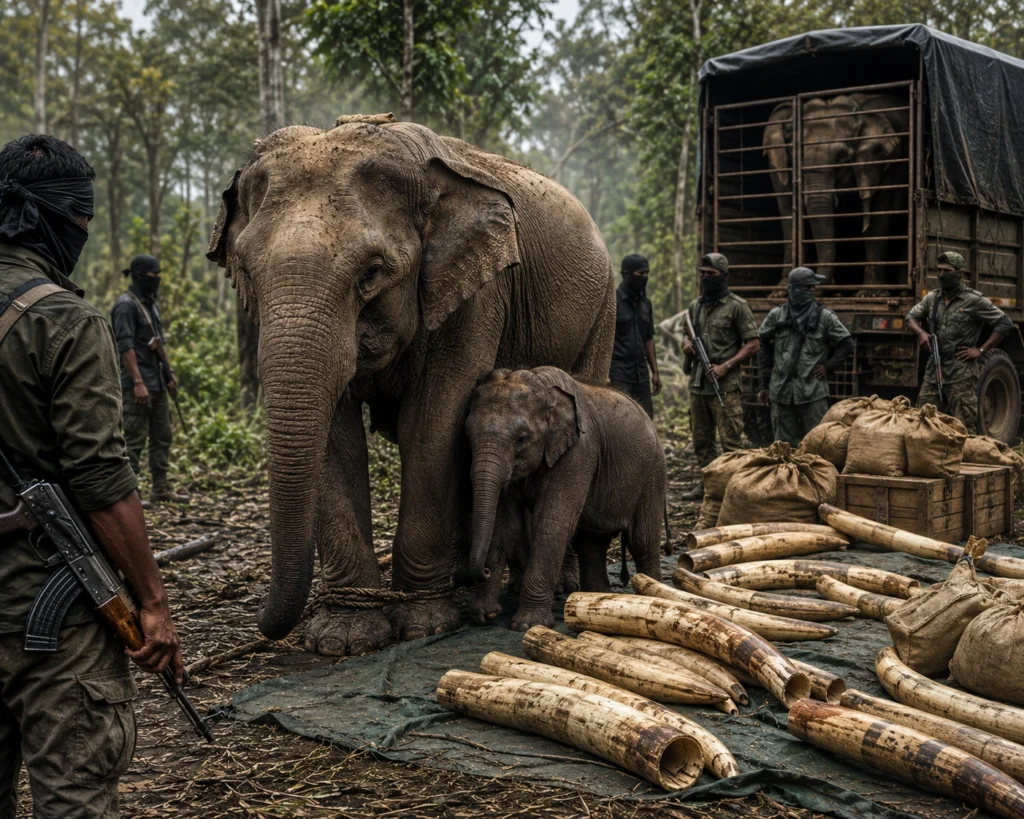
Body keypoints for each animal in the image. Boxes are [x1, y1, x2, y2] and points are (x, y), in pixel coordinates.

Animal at [207, 114, 616, 655]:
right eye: (246, 272)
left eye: (372, 272)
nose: (261, 627)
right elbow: (336, 433)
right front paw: (344, 638)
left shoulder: (479, 292)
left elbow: (433, 419)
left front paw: (425, 626)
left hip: (604, 304)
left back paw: (553, 584)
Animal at [465, 367, 666, 631]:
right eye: (467, 435)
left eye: (521, 438)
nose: (485, 571)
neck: (541, 384)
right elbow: (503, 524)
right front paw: (484, 616)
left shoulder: (579, 452)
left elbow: (551, 523)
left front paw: (527, 625)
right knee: (591, 543)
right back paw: (595, 602)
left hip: (652, 474)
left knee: (641, 541)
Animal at [763, 93, 908, 286]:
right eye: (795, 159)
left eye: (842, 157)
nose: (820, 279)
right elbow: (787, 214)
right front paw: (779, 290)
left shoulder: (890, 160)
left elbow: (879, 214)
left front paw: (871, 291)